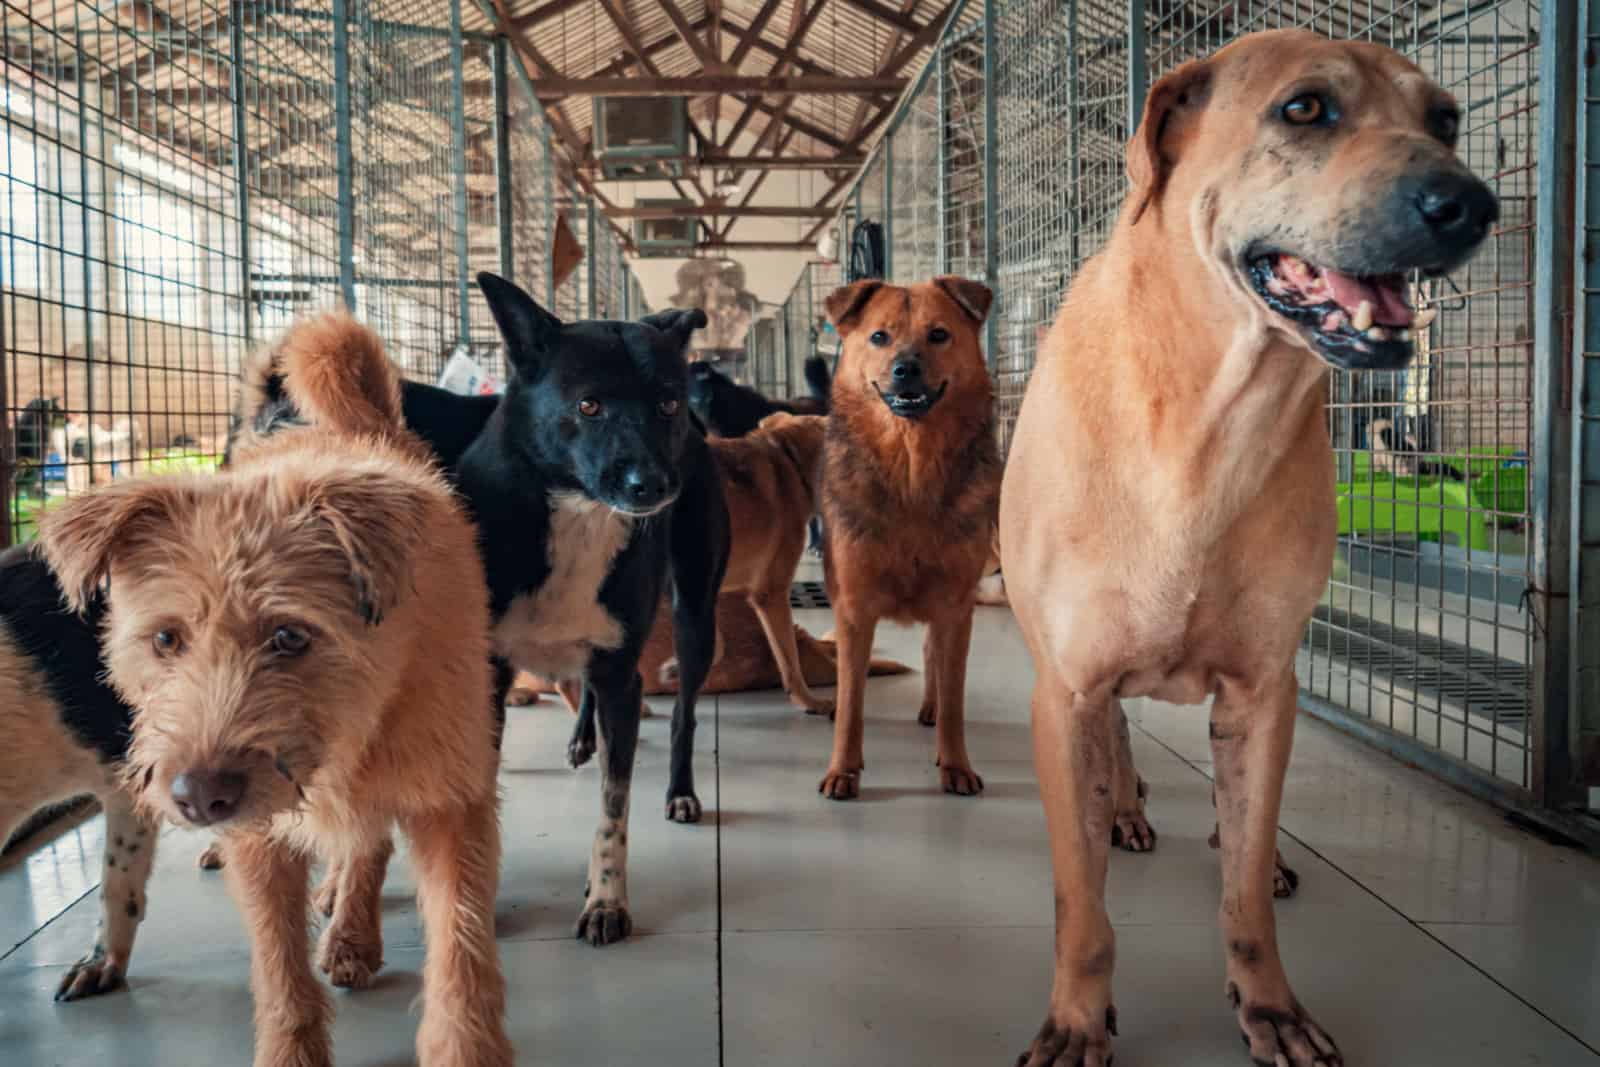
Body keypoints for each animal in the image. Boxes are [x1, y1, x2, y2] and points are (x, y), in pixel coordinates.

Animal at [36, 315, 512, 1067]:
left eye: (290, 637)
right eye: (165, 640)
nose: (197, 798)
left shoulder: (449, 801)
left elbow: (460, 944)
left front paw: (465, 1047)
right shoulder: (260, 839)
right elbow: (276, 958)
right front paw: (292, 1045)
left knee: (367, 842)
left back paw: (351, 931)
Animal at [812, 278, 998, 799]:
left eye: (938, 335)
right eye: (879, 337)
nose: (905, 369)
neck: (911, 468)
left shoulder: (955, 605)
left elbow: (954, 697)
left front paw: (955, 764)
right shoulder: (854, 608)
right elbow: (851, 702)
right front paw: (843, 769)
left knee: (934, 657)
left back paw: (931, 708)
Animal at [998, 29, 1497, 1062]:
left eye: (1445, 118)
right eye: (1304, 109)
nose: (1471, 203)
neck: (1209, 419)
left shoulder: (1266, 689)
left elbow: (1246, 886)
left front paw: (1269, 1003)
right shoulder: (1066, 689)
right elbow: (1081, 903)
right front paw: (1078, 1017)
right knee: (1116, 746)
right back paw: (1126, 810)